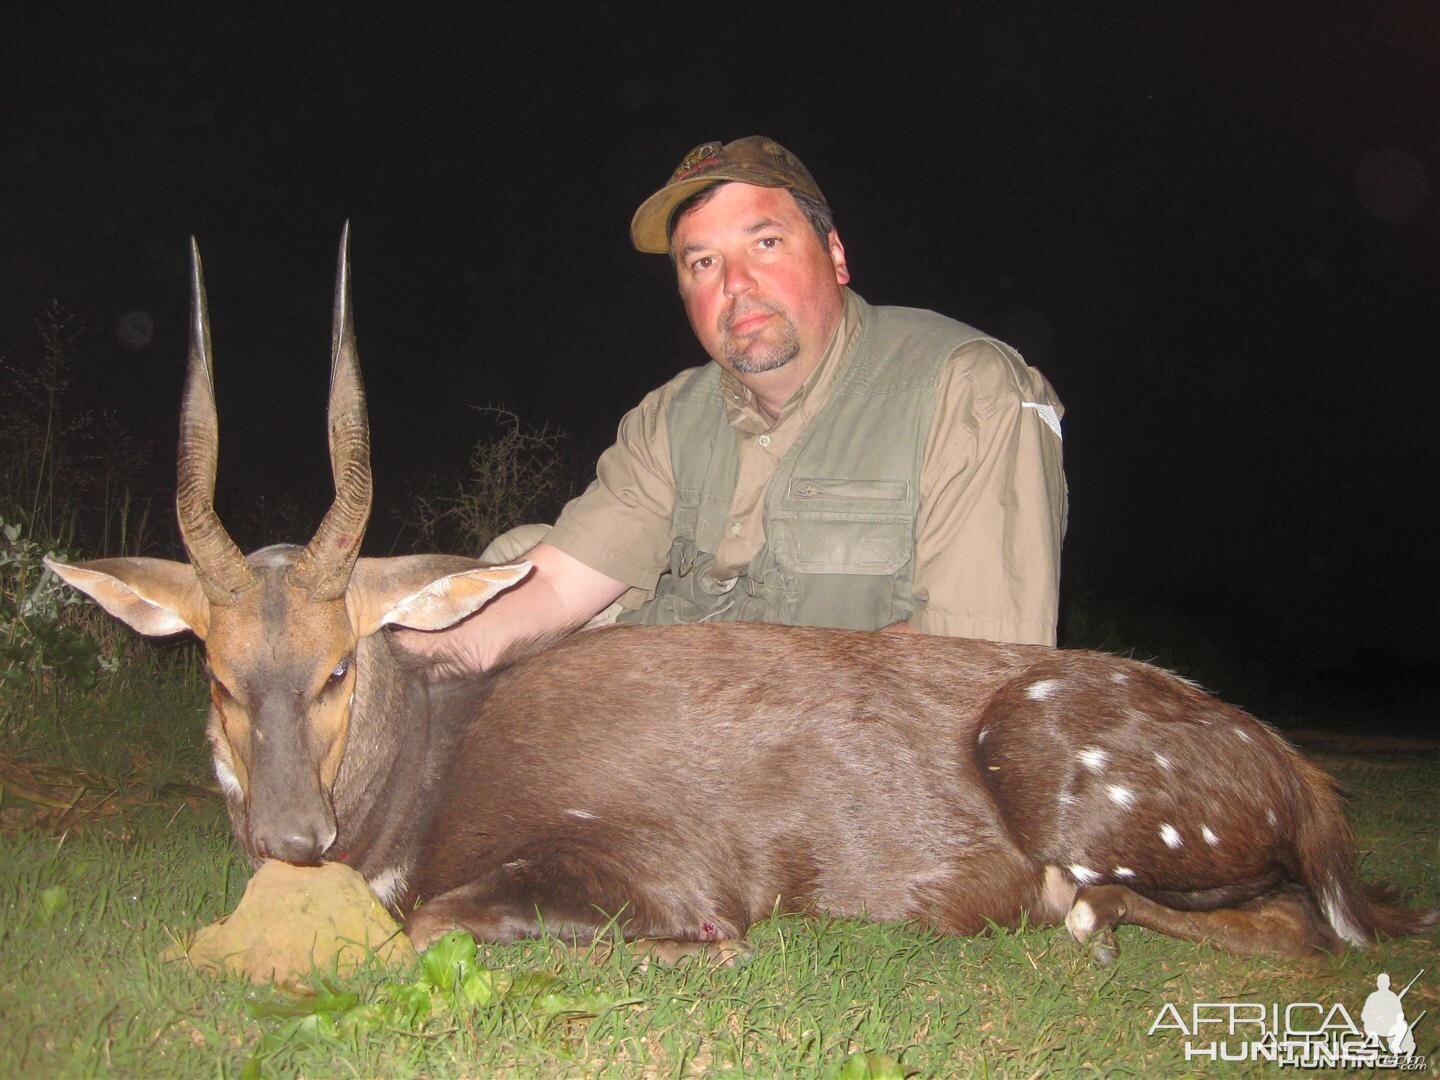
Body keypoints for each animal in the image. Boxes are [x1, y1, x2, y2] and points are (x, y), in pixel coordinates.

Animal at [45, 230, 1428, 961]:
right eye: (218, 674)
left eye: (340, 665)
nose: (291, 839)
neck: (426, 782)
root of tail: (1301, 776)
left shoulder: (647, 864)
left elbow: (437, 921)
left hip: (1073, 778)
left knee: (1292, 925)